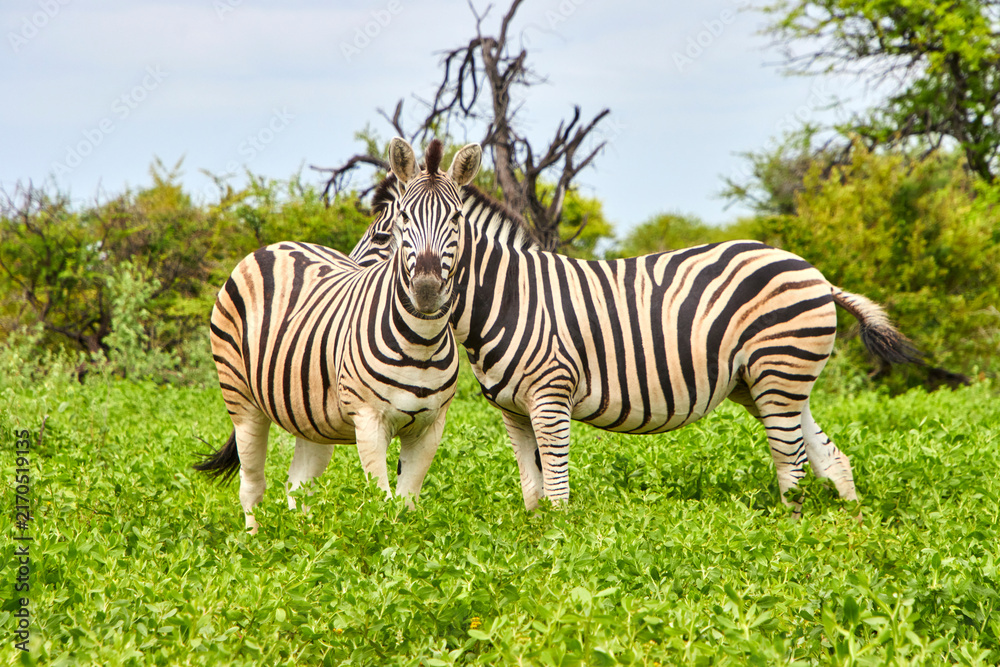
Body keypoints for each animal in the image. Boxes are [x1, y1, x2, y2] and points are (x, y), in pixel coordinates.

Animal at [194, 138, 483, 533]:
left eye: (456, 218)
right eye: (404, 218)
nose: (425, 290)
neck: (421, 342)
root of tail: (278, 245)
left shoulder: (430, 428)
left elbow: (407, 505)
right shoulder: (369, 422)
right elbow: (384, 504)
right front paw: (385, 545)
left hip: (311, 416)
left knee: (298, 485)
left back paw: (302, 540)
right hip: (241, 398)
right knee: (252, 485)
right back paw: (254, 544)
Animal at [350, 180, 920, 519]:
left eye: (382, 238)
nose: (347, 274)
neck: (508, 297)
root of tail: (818, 276)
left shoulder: (550, 396)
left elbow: (557, 491)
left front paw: (557, 559)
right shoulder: (513, 409)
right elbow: (534, 495)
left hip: (779, 375)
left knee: (792, 465)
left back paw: (789, 539)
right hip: (767, 385)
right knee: (831, 460)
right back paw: (844, 538)